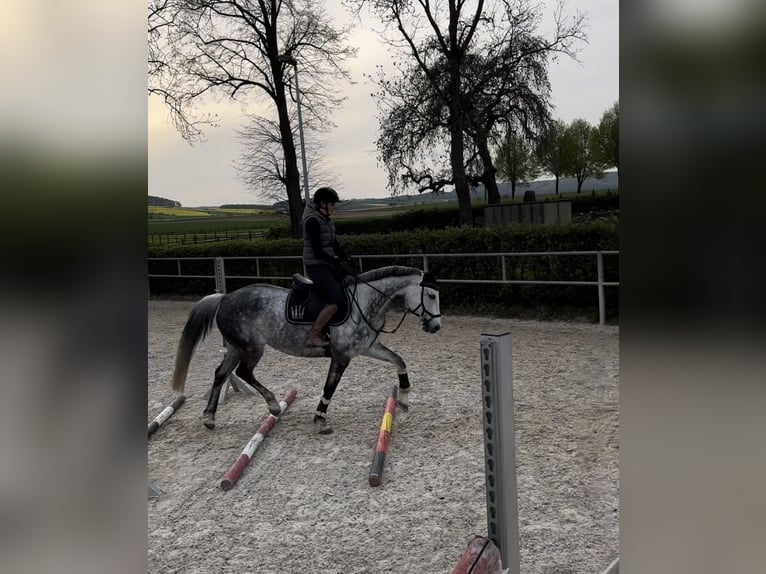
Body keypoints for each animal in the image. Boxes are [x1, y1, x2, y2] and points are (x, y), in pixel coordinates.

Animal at [170, 268, 440, 434]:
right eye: (430, 294)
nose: (436, 327)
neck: (363, 303)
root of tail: (225, 298)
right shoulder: (341, 356)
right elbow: (329, 387)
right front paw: (321, 419)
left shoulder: (367, 348)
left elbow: (399, 361)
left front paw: (403, 398)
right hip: (251, 348)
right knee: (244, 373)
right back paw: (273, 405)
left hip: (236, 348)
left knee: (221, 374)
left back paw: (209, 417)